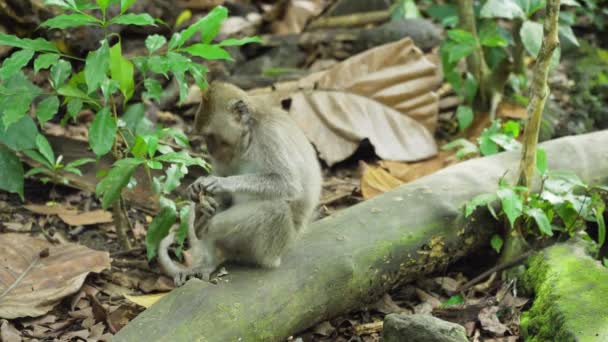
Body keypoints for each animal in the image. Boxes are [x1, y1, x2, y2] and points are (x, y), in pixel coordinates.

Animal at [157, 81, 324, 284]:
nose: (209, 150)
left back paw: (205, 226)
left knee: (275, 209)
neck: (249, 138)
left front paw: (222, 182)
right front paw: (199, 194)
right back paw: (203, 233)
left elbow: (288, 183)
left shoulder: (270, 136)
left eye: (211, 136)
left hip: (271, 248)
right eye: (205, 137)